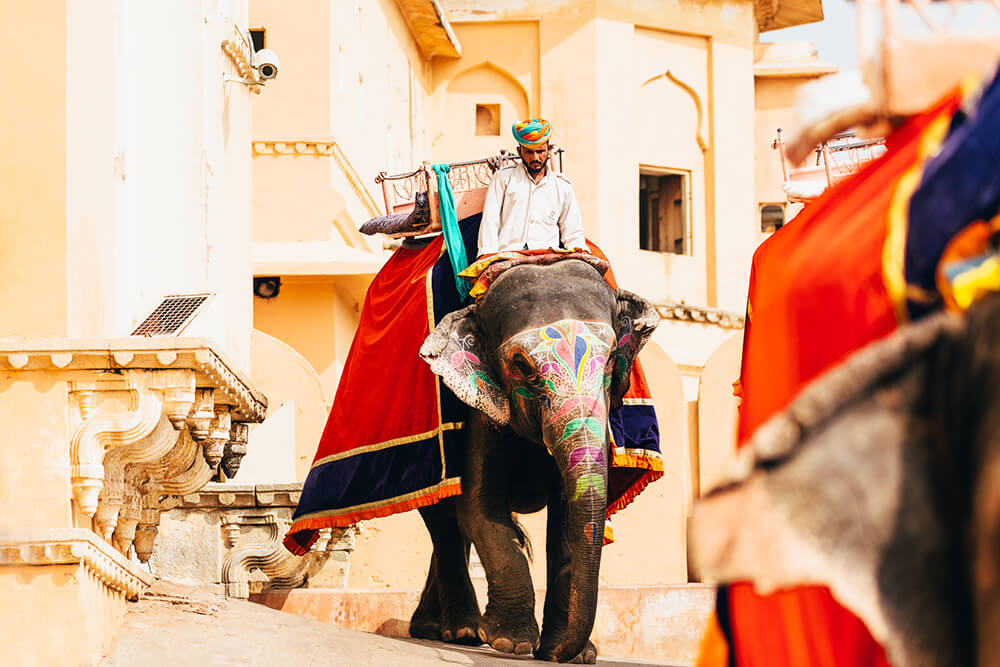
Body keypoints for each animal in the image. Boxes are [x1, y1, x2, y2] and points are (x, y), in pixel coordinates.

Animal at [410, 258, 660, 664]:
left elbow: (567, 520)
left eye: (610, 359)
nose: (558, 653)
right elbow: (479, 508)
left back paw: (436, 629)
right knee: (442, 519)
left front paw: (570, 653)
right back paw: (459, 631)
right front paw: (509, 643)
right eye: (521, 364)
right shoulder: (481, 413)